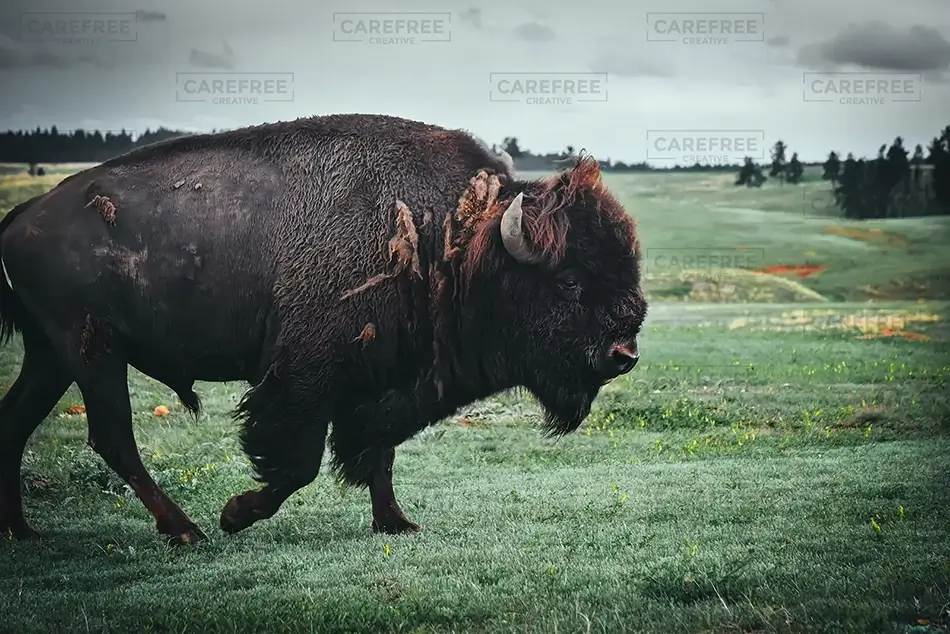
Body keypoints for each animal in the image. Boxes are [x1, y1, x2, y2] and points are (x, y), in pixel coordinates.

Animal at [0, 113, 646, 544]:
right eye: (569, 282)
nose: (624, 353)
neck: (457, 239)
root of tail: (24, 215)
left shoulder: (383, 377)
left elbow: (378, 451)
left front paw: (397, 524)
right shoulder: (306, 376)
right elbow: (299, 462)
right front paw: (235, 514)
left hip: (51, 356)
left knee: (19, 420)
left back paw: (23, 532)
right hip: (92, 352)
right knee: (113, 436)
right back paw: (185, 531)